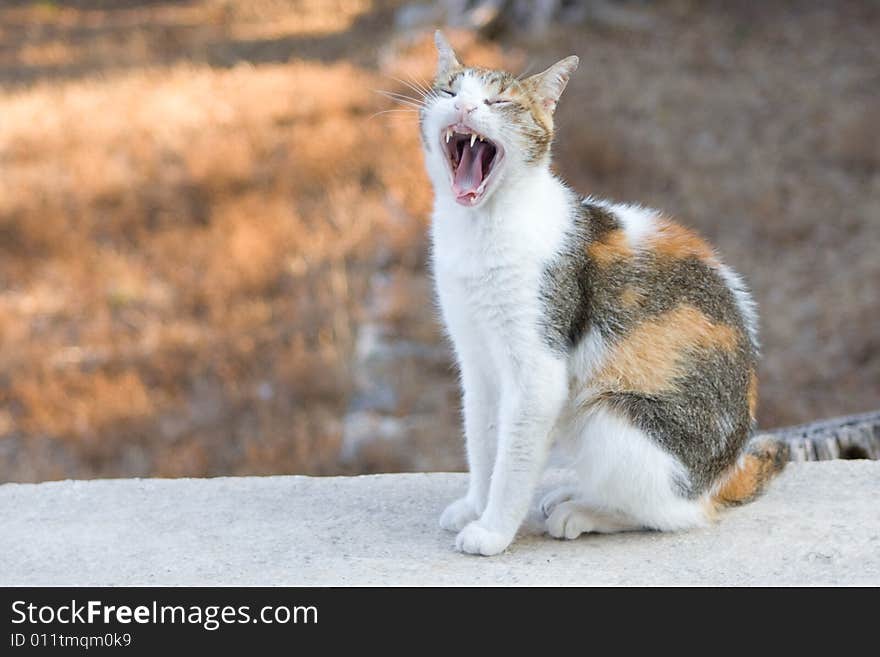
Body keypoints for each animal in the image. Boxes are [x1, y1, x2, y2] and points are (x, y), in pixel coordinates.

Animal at [416, 30, 788, 552]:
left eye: (500, 100)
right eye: (450, 90)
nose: (466, 107)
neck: (478, 230)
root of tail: (723, 474)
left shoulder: (538, 371)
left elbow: (512, 460)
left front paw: (492, 530)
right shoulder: (477, 362)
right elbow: (483, 443)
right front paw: (475, 505)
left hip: (607, 416)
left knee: (674, 514)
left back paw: (584, 511)